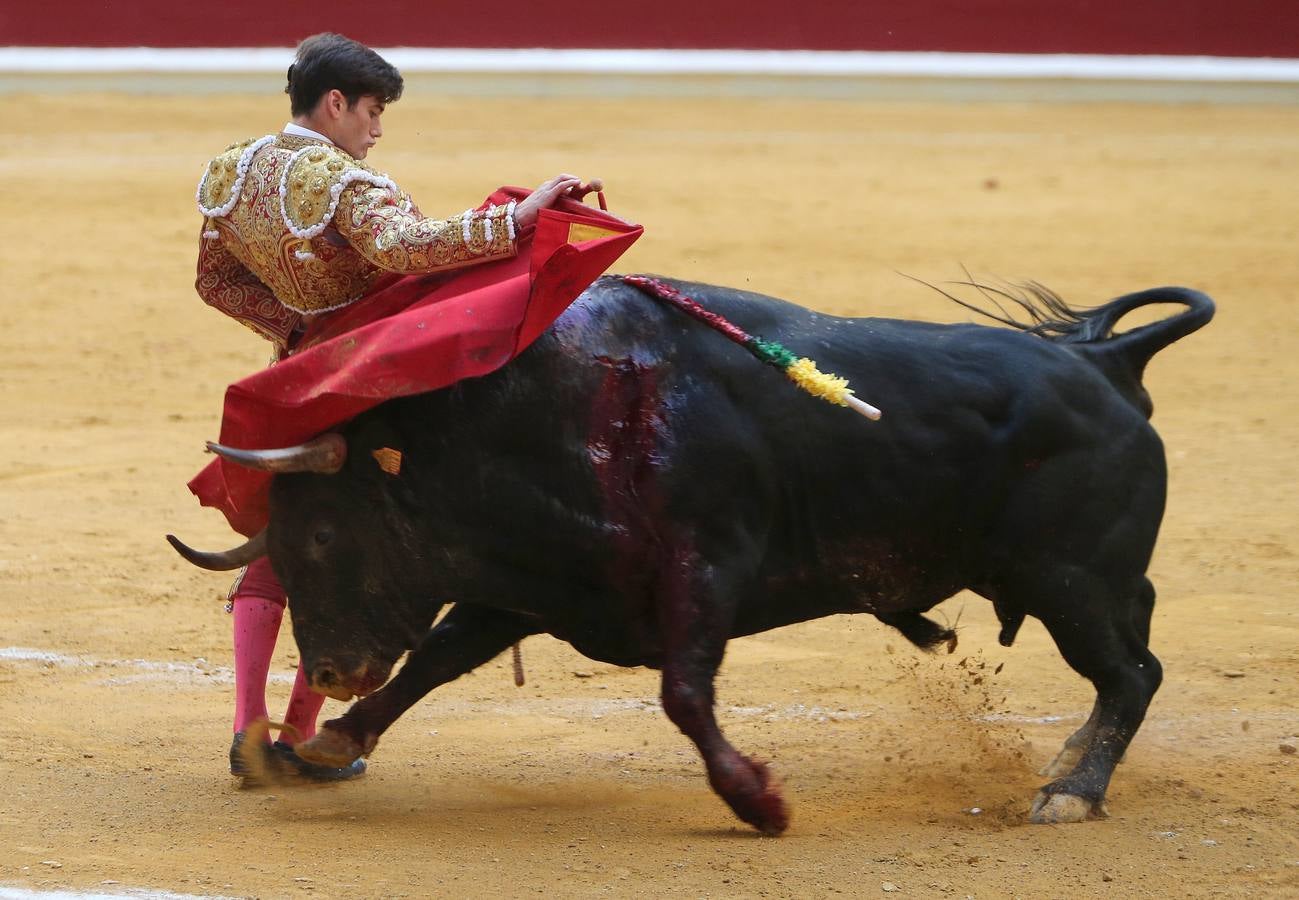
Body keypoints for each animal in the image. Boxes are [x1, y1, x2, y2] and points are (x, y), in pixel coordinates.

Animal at [167, 277, 1210, 831]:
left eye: (324, 533)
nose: (327, 671)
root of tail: (1106, 361)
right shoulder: (536, 584)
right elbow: (435, 661)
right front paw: (328, 743)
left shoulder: (706, 570)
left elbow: (682, 692)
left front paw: (757, 801)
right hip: (1089, 585)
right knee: (1131, 660)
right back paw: (1070, 762)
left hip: (1071, 582)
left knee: (1133, 673)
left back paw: (1069, 792)